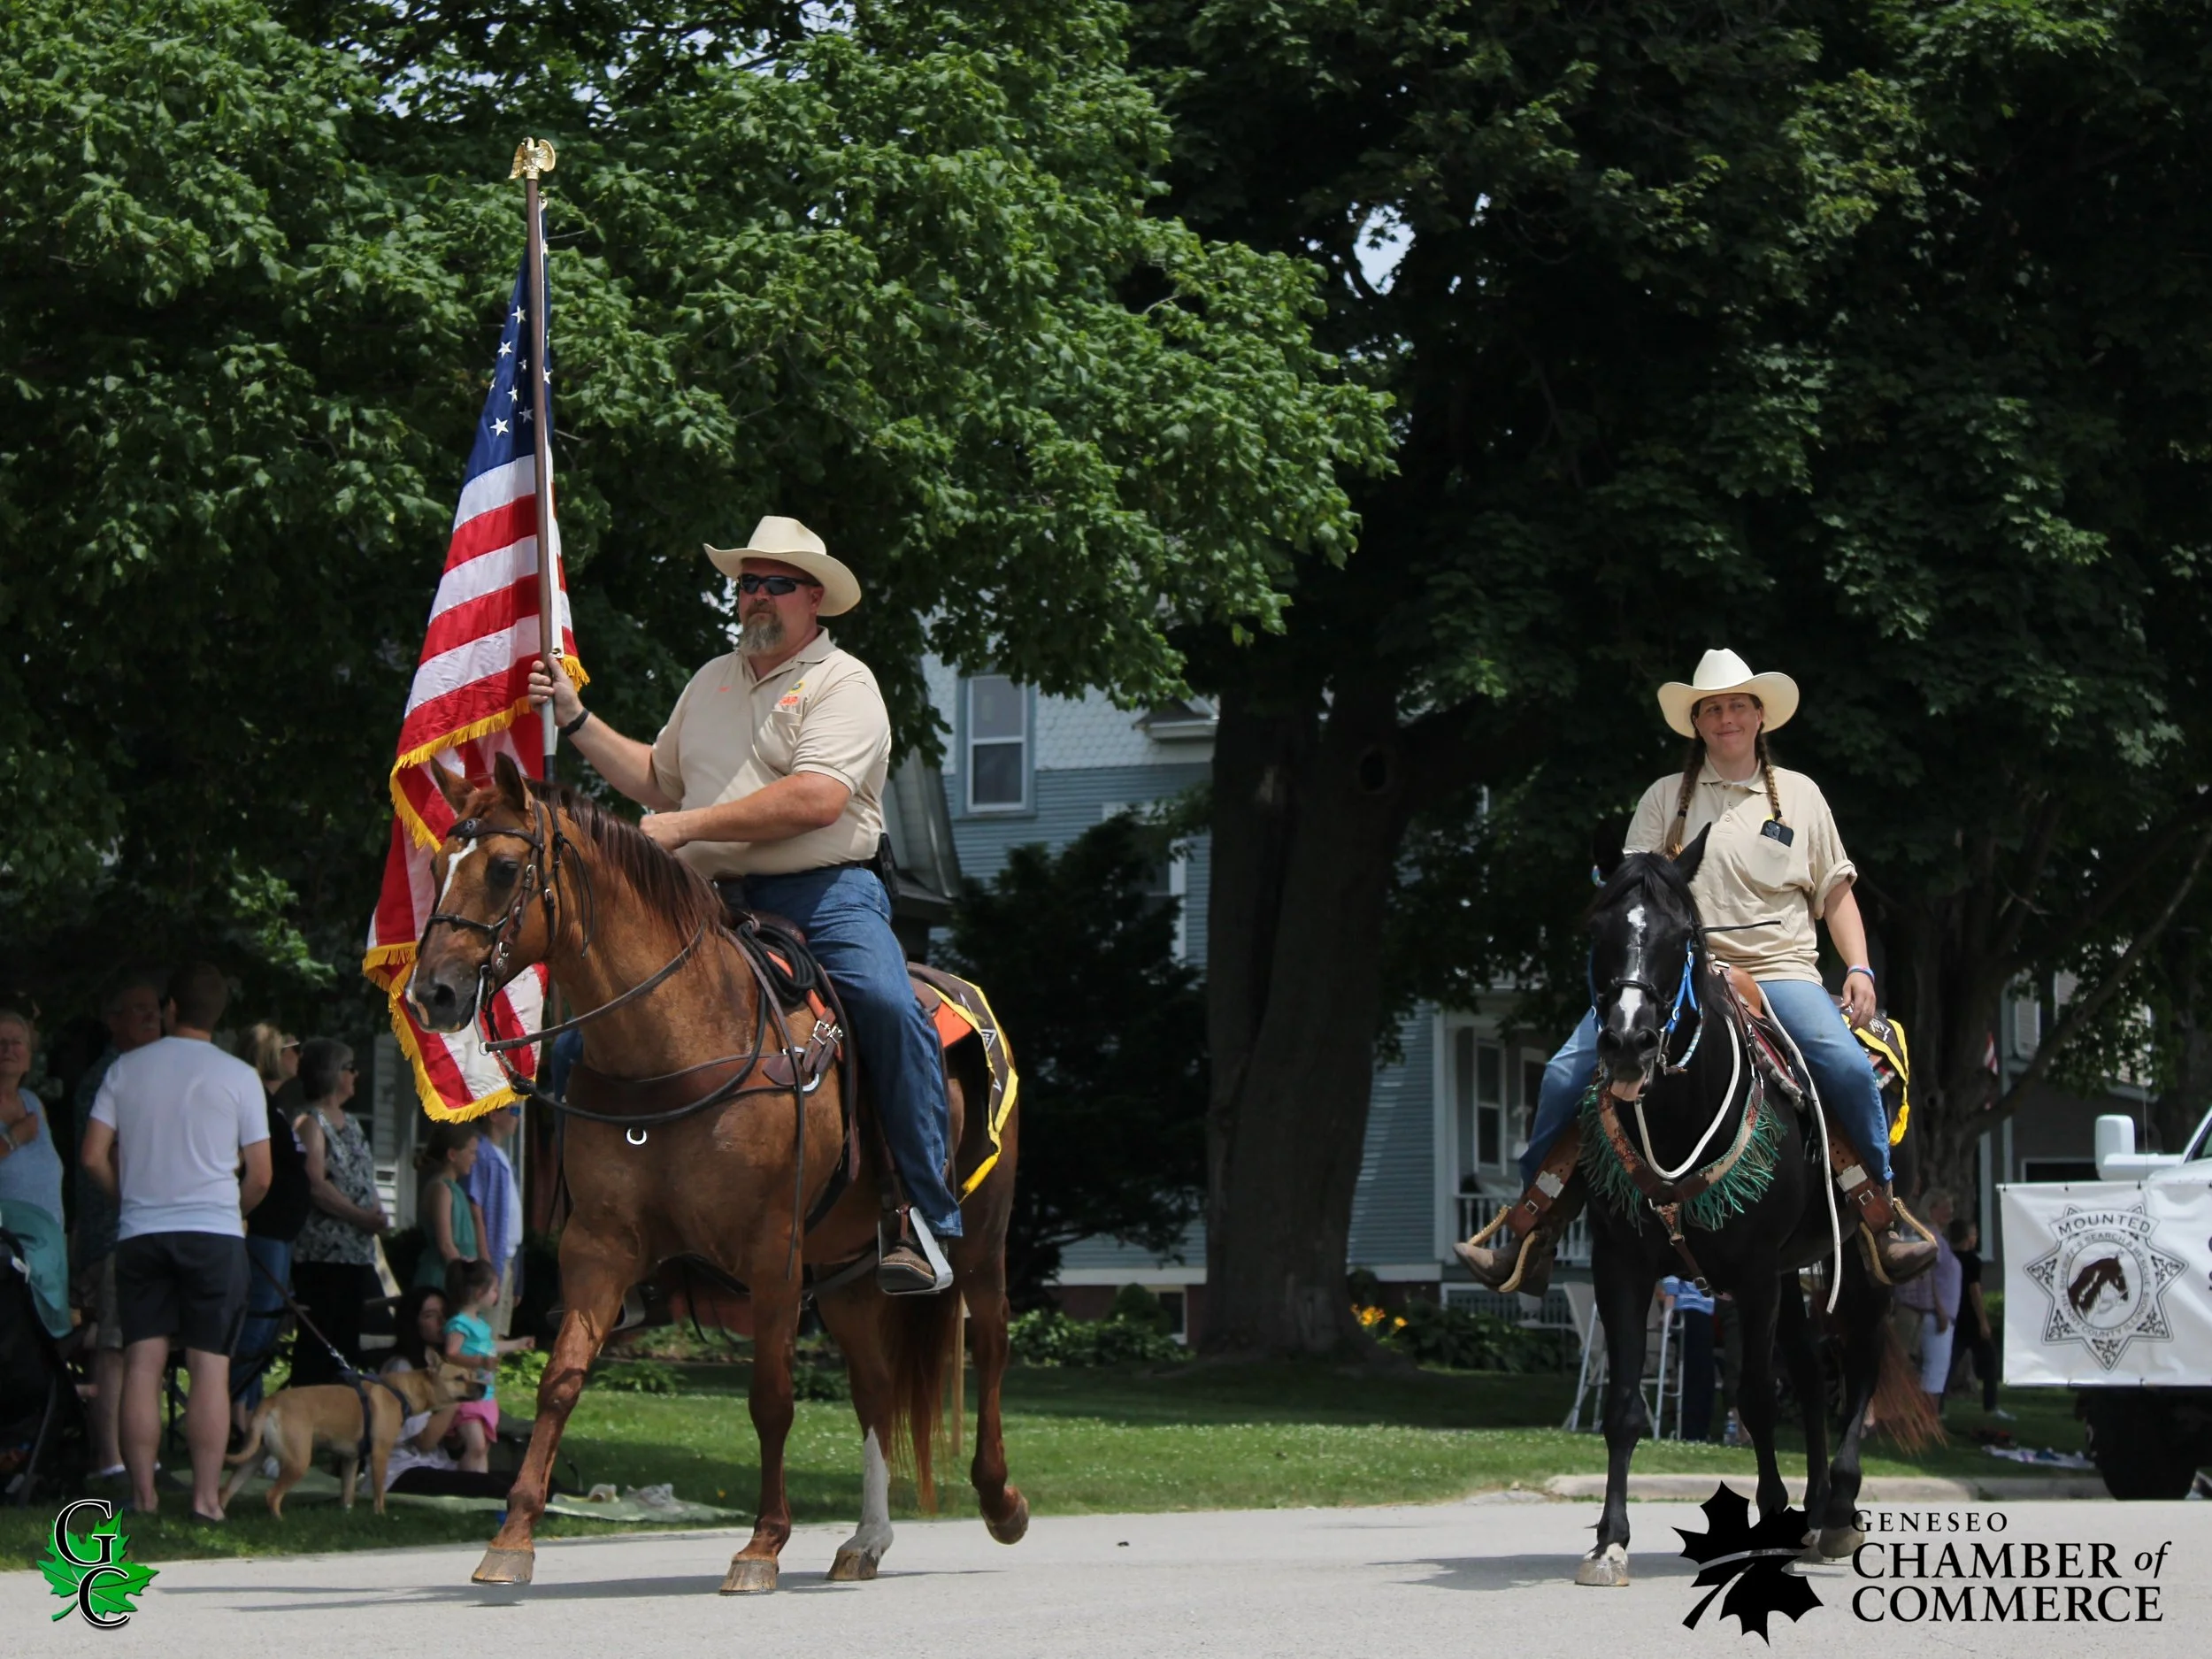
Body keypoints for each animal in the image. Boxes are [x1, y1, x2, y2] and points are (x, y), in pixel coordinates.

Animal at [222, 1357, 482, 1517]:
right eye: (459, 1378)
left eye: (471, 1374)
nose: (483, 1386)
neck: (400, 1390)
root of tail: (271, 1401)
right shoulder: (380, 1453)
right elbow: (379, 1491)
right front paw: (380, 1514)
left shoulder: (351, 1459)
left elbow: (347, 1495)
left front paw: (346, 1514)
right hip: (297, 1462)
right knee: (272, 1495)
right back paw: (279, 1520)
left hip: (253, 1458)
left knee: (226, 1489)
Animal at [405, 753, 1028, 1592]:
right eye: (435, 865)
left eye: (504, 868)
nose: (431, 993)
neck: (672, 1039)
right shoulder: (600, 1246)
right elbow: (561, 1377)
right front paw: (512, 1535)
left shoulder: (771, 1254)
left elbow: (771, 1398)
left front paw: (762, 1543)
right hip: (848, 1272)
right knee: (873, 1383)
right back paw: (865, 1541)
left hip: (980, 1241)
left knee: (990, 1346)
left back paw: (1000, 1501)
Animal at [1569, 827, 1934, 1586]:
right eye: (1597, 928)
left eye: (1682, 935)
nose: (1628, 1041)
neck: (1679, 1113)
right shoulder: (1622, 1262)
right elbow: (1623, 1405)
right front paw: (1609, 1541)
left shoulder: (1758, 1272)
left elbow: (1760, 1398)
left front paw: (1770, 1523)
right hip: (1797, 1270)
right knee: (1811, 1368)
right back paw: (1817, 1507)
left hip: (1860, 1253)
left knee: (1860, 1359)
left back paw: (1840, 1509)